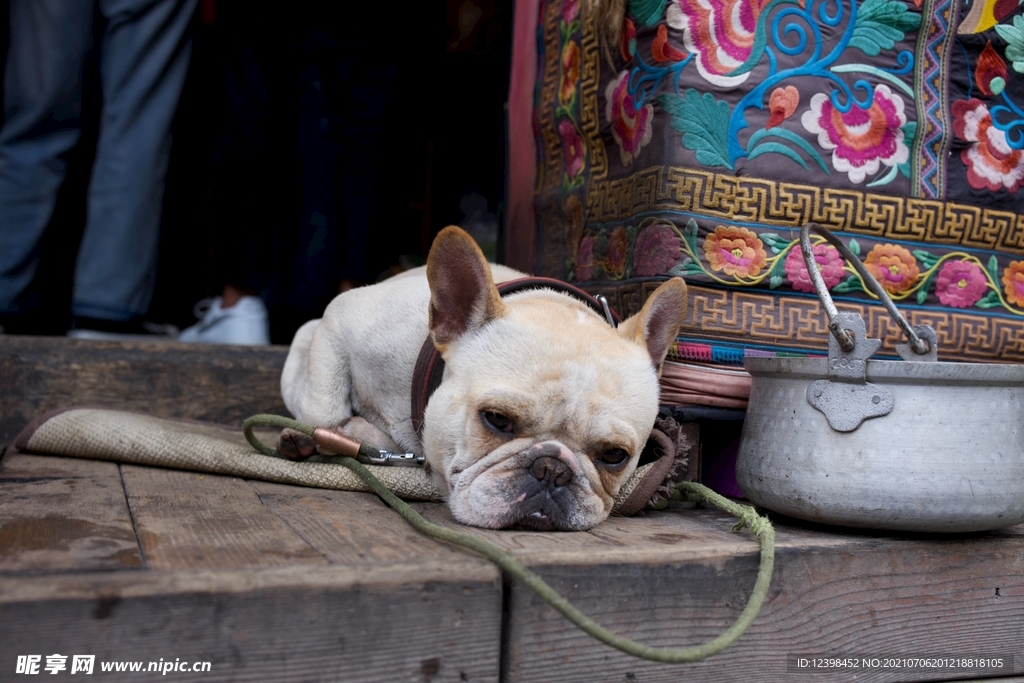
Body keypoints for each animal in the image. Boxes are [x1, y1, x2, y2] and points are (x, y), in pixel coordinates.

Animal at [278, 227, 688, 532]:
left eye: (615, 456)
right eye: (496, 419)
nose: (552, 469)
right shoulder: (339, 318)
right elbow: (324, 411)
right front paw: (324, 436)